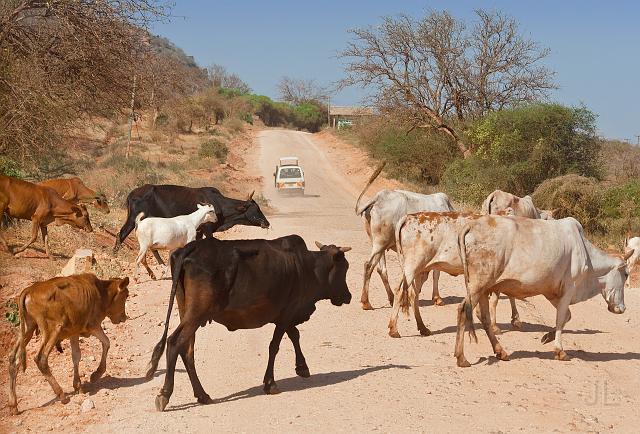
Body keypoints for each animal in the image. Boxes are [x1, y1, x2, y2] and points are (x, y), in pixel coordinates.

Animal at [7, 274, 129, 414]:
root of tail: (29, 290)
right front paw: (96, 374)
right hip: (52, 330)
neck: (102, 292)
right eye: (126, 295)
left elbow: (76, 356)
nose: (124, 317)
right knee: (40, 359)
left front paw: (78, 386)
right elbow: (107, 342)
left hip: (28, 329)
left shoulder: (74, 332)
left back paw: (13, 405)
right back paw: (62, 395)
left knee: (14, 360)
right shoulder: (93, 325)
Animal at [115, 183, 270, 258]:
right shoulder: (207, 229)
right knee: (121, 234)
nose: (267, 223)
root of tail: (131, 194)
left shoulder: (199, 231)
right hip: (133, 220)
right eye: (256, 208)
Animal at [145, 236, 352, 412]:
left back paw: (202, 395)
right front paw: (270, 383)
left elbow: (294, 335)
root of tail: (192, 247)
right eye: (344, 268)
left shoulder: (283, 314)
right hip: (197, 313)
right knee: (174, 342)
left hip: (186, 311)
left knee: (187, 350)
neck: (306, 266)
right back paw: (165, 394)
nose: (348, 296)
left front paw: (302, 367)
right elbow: (275, 346)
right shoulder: (287, 312)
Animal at [356, 164, 456, 310]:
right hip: (380, 243)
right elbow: (436, 273)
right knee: (368, 265)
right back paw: (366, 302)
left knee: (381, 269)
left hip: (377, 243)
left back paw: (392, 298)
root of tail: (379, 198)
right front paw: (437, 298)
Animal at [456, 215, 632, 368]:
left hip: (484, 288)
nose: (622, 308)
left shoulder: (552, 292)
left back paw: (500, 352)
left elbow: (566, 316)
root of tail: (472, 225)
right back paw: (461, 357)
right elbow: (561, 319)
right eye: (626, 274)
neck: (587, 256)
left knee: (483, 317)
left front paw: (548, 337)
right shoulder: (570, 288)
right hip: (478, 285)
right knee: (464, 310)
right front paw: (560, 351)